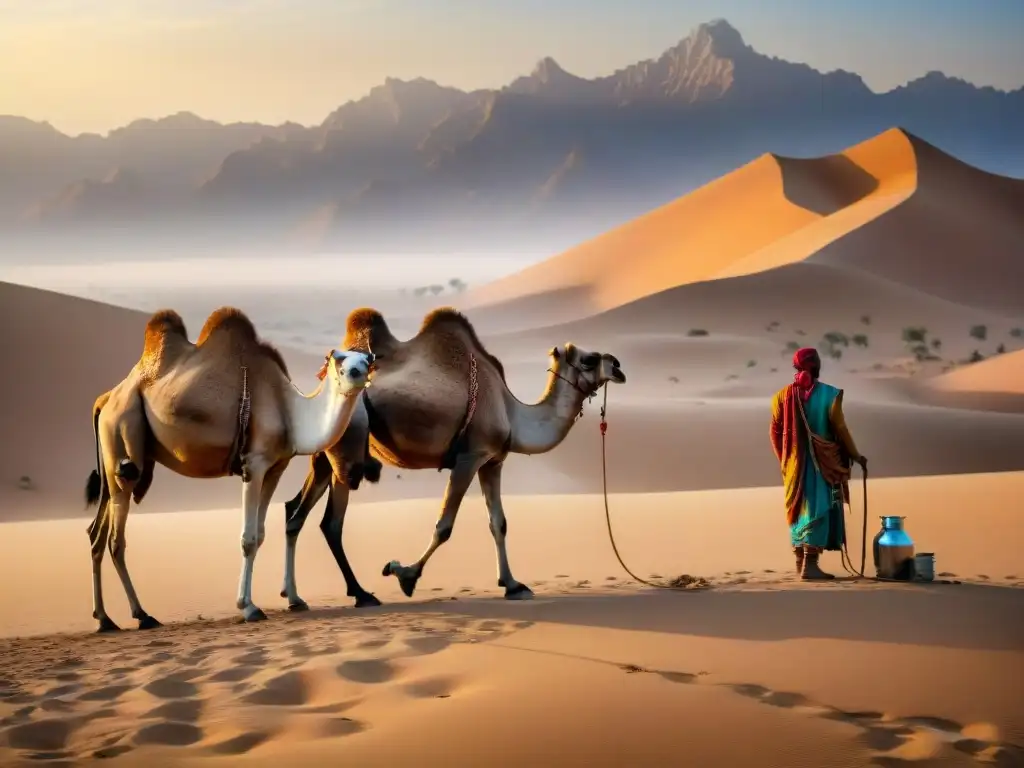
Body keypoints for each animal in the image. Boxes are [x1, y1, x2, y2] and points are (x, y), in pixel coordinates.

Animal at [82, 307, 372, 630]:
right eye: (340, 362)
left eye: (365, 360)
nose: (358, 373)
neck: (290, 411)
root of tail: (105, 399)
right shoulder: (253, 464)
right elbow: (248, 539)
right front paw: (248, 607)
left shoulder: (275, 468)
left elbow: (260, 534)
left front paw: (293, 599)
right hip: (123, 434)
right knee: (115, 539)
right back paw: (142, 615)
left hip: (113, 460)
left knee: (96, 533)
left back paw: (105, 619)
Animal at [280, 307, 622, 606]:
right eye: (589, 359)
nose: (618, 366)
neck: (511, 411)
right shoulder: (468, 458)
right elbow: (444, 526)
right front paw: (405, 575)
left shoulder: (492, 462)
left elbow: (499, 523)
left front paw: (512, 585)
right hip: (346, 452)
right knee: (331, 522)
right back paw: (360, 595)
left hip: (325, 452)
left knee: (296, 513)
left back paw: (298, 597)